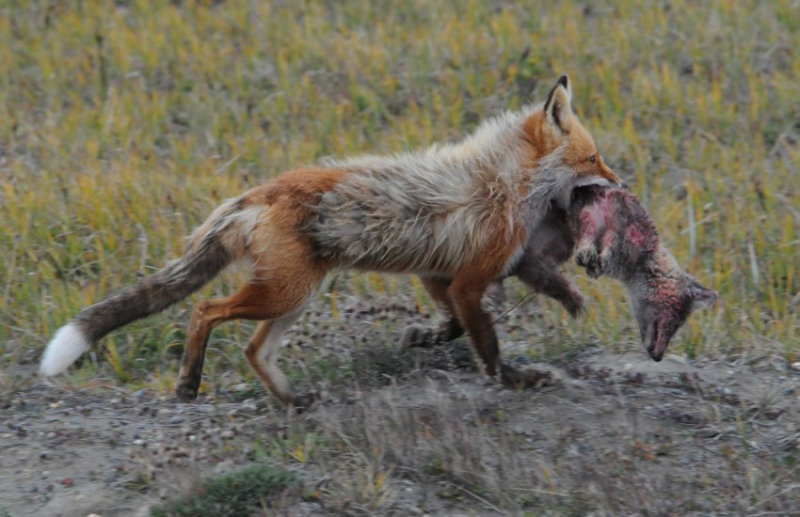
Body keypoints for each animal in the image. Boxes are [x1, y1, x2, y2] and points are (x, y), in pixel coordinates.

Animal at [40, 75, 620, 408]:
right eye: (594, 159)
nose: (621, 183)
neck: (504, 182)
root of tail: (257, 192)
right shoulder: (469, 279)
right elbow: (487, 347)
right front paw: (515, 380)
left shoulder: (439, 275)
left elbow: (453, 326)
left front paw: (423, 338)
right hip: (285, 293)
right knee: (205, 310)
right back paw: (189, 382)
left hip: (295, 297)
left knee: (253, 349)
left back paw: (290, 400)